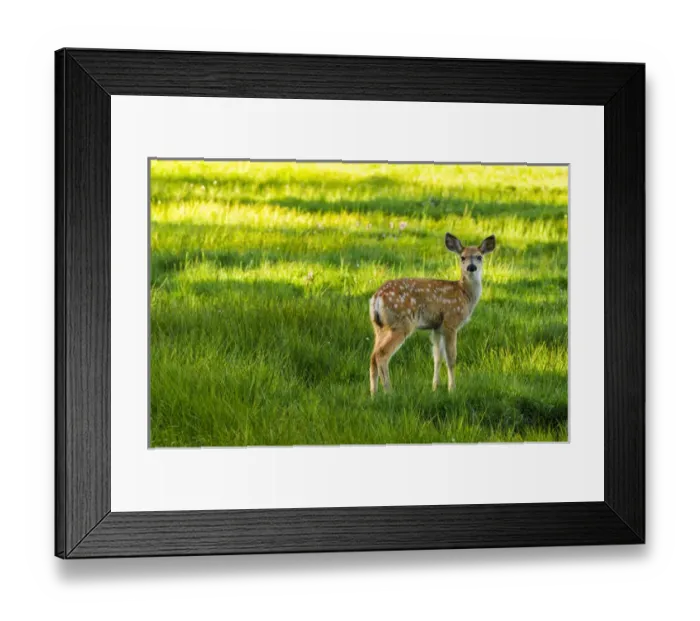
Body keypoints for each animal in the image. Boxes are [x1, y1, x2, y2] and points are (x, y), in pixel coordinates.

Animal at [369, 233, 496, 395]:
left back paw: (373, 393)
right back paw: (389, 392)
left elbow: (437, 357)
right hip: (401, 323)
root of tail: (377, 298)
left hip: (379, 327)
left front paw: (435, 387)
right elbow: (451, 358)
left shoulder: (437, 328)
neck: (464, 294)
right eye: (462, 257)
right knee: (381, 354)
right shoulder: (450, 322)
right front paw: (452, 389)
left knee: (373, 356)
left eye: (479, 257)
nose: (471, 267)